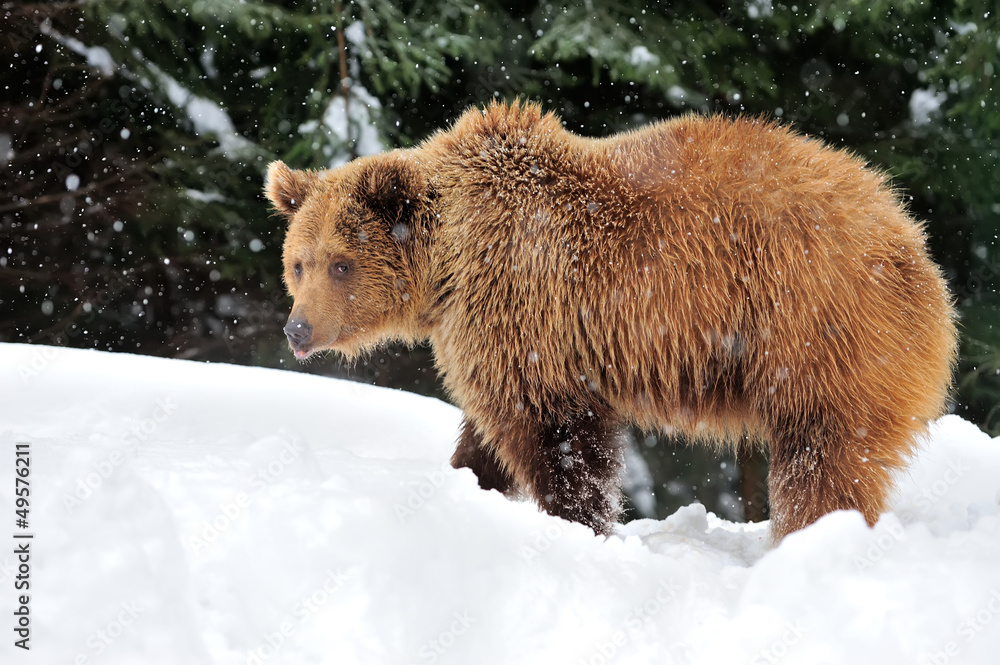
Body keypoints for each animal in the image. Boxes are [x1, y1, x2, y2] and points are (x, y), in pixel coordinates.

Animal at [265, 101, 957, 541]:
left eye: (341, 264)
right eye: (298, 263)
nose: (298, 329)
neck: (450, 265)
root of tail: (913, 241)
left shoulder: (526, 307)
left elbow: (556, 434)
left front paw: (579, 524)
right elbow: (488, 435)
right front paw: (468, 482)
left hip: (817, 328)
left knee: (822, 458)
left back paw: (812, 540)